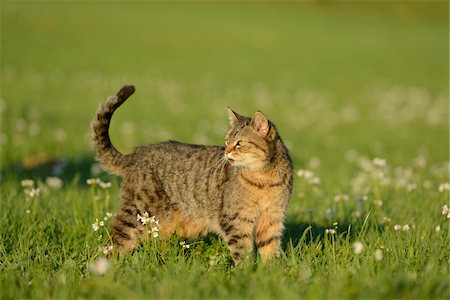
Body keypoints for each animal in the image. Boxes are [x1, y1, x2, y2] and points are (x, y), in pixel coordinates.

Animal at [92, 85, 296, 262]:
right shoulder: (236, 222)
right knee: (112, 244)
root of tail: (137, 152)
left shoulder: (272, 219)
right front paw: (245, 272)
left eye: (239, 143)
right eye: (226, 141)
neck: (265, 179)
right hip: (135, 214)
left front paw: (270, 272)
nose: (226, 152)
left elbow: (270, 250)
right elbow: (242, 252)